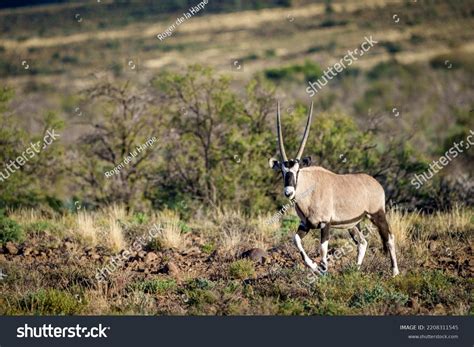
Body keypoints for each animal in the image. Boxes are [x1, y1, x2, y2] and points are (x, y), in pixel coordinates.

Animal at [268, 102, 398, 276]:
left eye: (298, 170)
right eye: (282, 171)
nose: (289, 192)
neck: (310, 190)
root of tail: (376, 183)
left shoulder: (325, 223)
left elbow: (323, 248)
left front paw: (323, 271)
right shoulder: (305, 224)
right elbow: (296, 240)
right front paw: (315, 267)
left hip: (377, 214)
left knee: (389, 237)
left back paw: (395, 272)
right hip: (352, 224)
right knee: (362, 242)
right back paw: (355, 270)